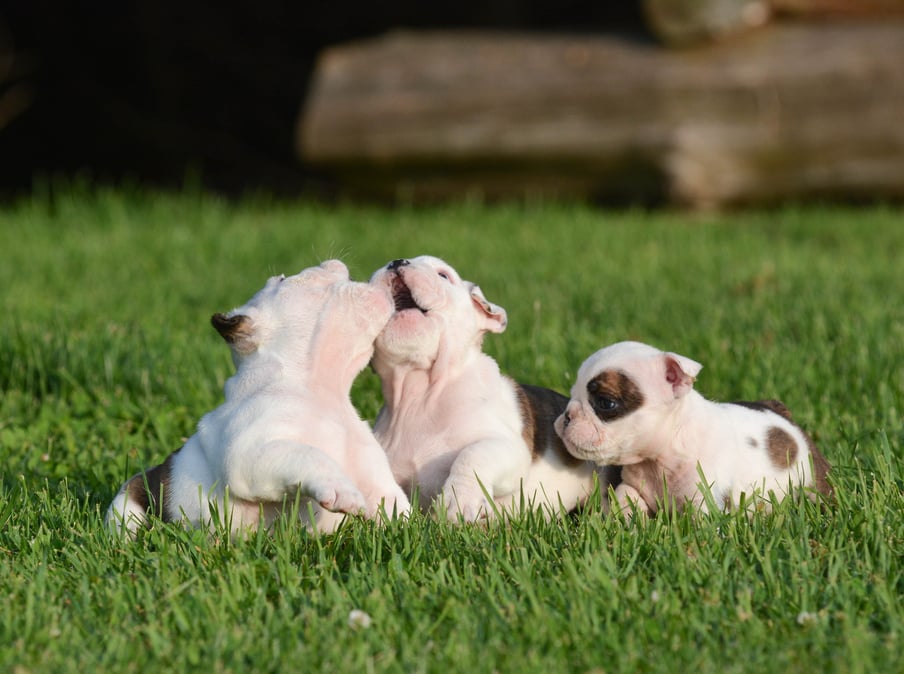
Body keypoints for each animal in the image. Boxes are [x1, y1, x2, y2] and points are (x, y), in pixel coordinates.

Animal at [107, 258, 414, 536]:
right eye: (282, 279)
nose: (332, 262)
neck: (319, 391)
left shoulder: (375, 477)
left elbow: (395, 505)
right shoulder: (253, 453)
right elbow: (309, 455)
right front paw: (342, 489)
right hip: (125, 506)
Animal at [368, 255, 616, 524]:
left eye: (443, 275)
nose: (396, 262)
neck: (420, 393)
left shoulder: (508, 448)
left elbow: (474, 454)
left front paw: (459, 500)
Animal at [552, 338, 832, 516]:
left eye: (605, 403)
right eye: (572, 394)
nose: (567, 415)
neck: (661, 455)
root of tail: (782, 413)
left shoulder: (705, 499)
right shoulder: (634, 485)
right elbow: (624, 496)